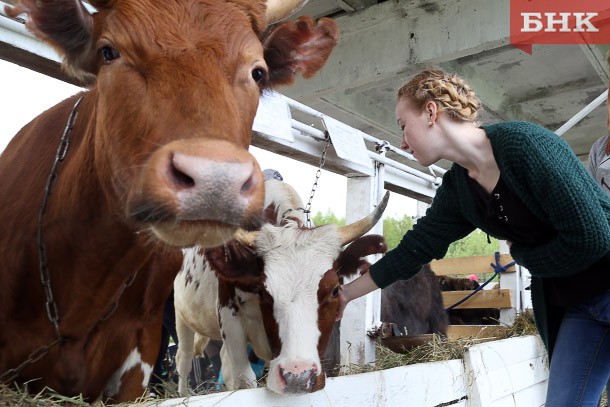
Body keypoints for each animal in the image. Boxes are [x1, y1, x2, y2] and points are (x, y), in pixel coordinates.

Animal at [173, 181, 388, 396]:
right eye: (262, 291)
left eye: (335, 290)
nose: (297, 377)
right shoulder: (228, 317)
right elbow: (246, 380)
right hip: (180, 314)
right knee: (184, 357)